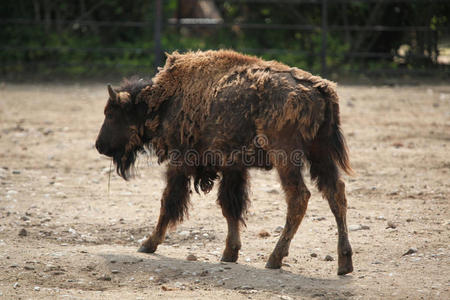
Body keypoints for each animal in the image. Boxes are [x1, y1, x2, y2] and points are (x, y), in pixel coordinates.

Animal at [96, 50, 356, 276]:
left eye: (111, 114)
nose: (99, 145)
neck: (163, 99)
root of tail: (320, 90)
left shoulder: (179, 162)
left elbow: (168, 202)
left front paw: (148, 244)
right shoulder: (233, 168)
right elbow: (230, 206)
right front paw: (230, 253)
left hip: (286, 157)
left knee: (299, 197)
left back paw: (274, 258)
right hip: (320, 154)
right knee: (336, 194)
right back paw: (344, 263)